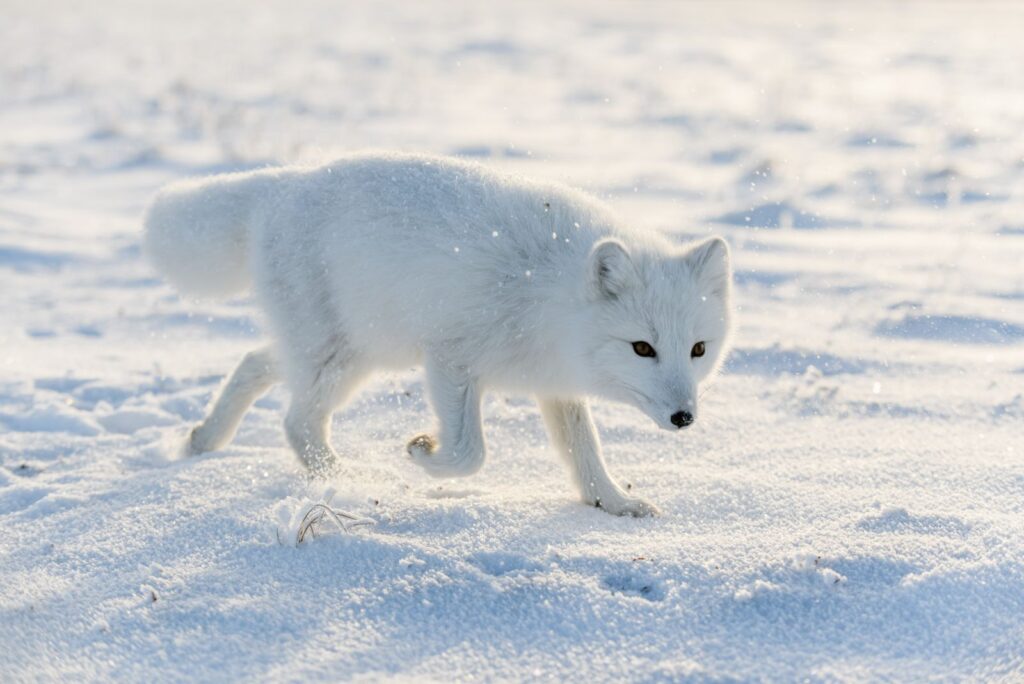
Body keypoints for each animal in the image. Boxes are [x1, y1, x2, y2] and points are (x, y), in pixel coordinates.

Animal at [146, 153, 737, 518]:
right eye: (642, 347)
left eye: (698, 349)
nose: (684, 418)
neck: (549, 290)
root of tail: (281, 181)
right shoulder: (450, 358)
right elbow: (471, 451)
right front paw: (422, 453)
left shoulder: (554, 384)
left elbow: (586, 454)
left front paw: (614, 504)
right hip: (343, 356)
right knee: (295, 420)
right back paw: (343, 475)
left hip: (351, 349)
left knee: (255, 362)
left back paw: (204, 439)